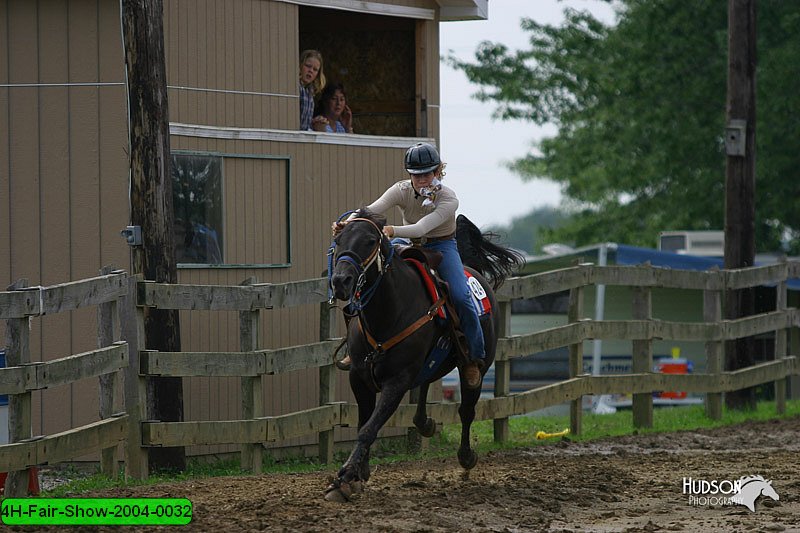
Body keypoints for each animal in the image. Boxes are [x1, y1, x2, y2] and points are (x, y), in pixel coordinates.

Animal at [326, 207, 524, 498]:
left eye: (370, 241)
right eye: (338, 240)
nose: (341, 281)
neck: (389, 312)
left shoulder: (397, 381)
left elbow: (369, 428)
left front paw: (346, 477)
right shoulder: (359, 377)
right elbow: (364, 423)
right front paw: (359, 473)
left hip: (479, 365)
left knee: (467, 410)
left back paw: (466, 456)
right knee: (426, 386)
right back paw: (425, 423)